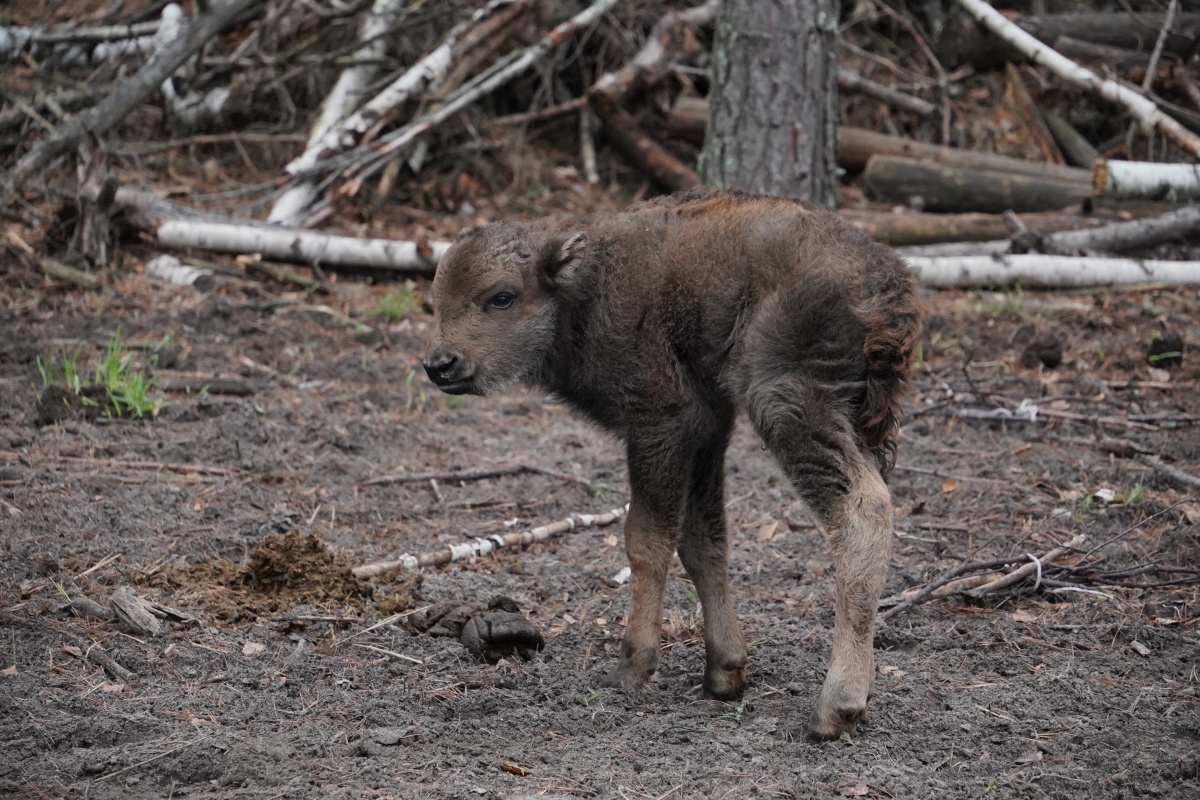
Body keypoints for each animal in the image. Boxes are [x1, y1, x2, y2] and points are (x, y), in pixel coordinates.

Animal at [427, 188, 921, 738]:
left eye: (502, 297)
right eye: (436, 300)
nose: (440, 364)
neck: (586, 286)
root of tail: (886, 284)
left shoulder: (658, 421)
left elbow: (645, 540)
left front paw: (631, 667)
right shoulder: (708, 428)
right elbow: (703, 541)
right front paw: (725, 672)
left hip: (787, 403)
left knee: (862, 509)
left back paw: (835, 707)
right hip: (853, 418)